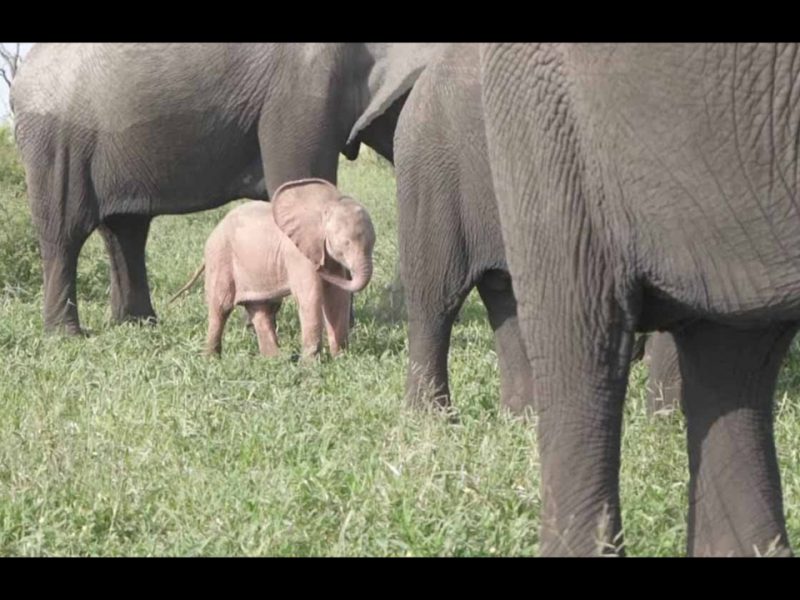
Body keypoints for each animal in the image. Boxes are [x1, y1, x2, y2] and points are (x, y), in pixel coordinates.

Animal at [10, 43, 444, 332]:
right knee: (65, 232)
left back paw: (138, 325)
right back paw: (68, 335)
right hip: (58, 143)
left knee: (126, 231)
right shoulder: (302, 87)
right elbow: (295, 183)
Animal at [170, 177, 376, 356]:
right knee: (221, 307)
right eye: (346, 244)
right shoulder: (297, 254)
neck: (326, 205)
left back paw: (276, 358)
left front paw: (340, 358)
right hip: (220, 258)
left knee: (262, 308)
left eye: (373, 243)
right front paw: (310, 365)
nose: (320, 269)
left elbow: (337, 296)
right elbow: (310, 296)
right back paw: (212, 359)